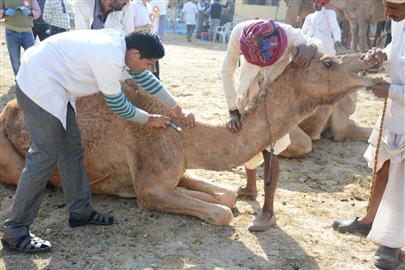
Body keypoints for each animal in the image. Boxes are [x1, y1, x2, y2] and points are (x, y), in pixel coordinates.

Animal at [0, 52, 370, 226]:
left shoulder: (178, 169)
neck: (187, 138)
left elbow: (225, 196)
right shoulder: (150, 189)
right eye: (329, 62)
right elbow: (221, 212)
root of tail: (10, 109)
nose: (372, 60)